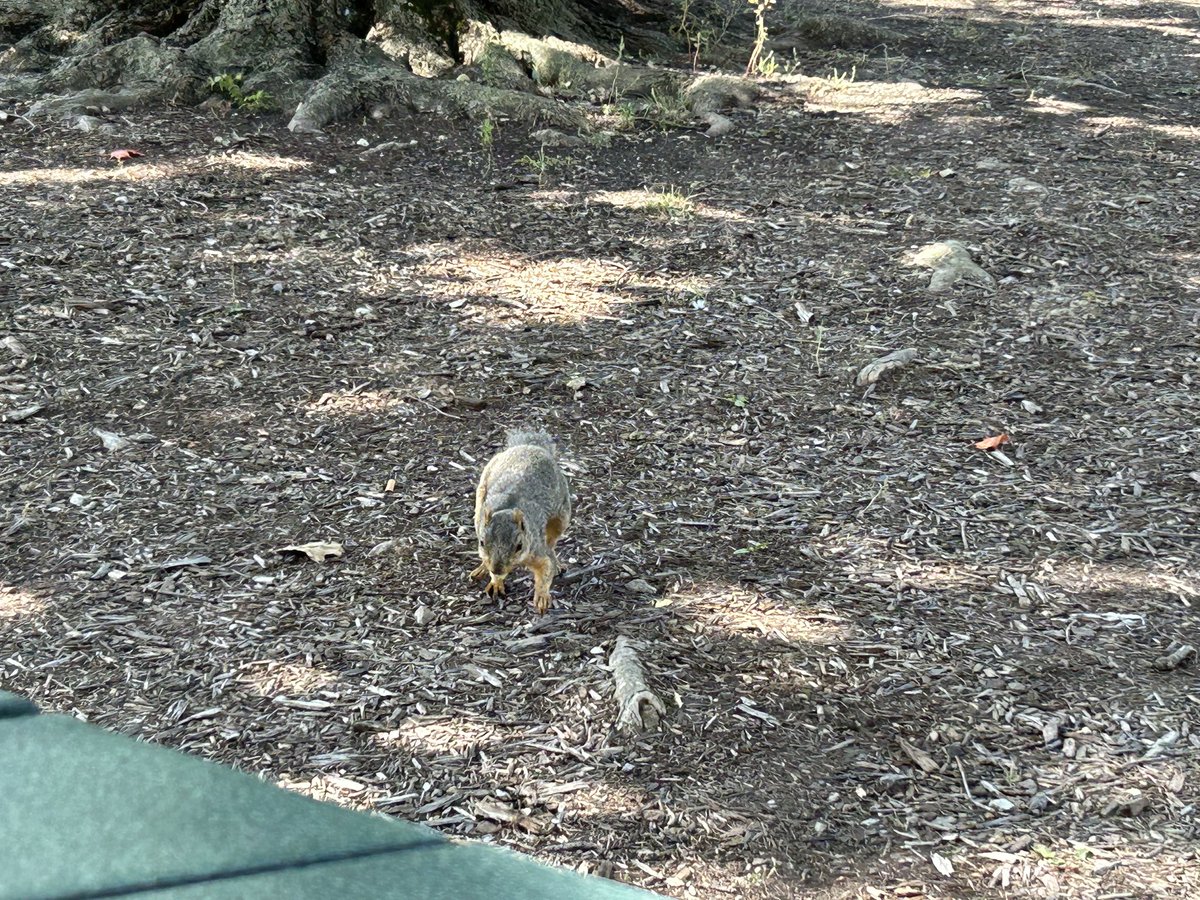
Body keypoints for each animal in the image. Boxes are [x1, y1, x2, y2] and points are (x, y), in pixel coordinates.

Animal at [470, 429, 572, 614]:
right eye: (481, 542)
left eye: (519, 546)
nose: (497, 568)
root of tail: (531, 445)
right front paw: (496, 582)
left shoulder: (538, 551)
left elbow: (546, 570)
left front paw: (542, 597)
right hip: (480, 499)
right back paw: (482, 568)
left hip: (562, 516)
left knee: (552, 543)